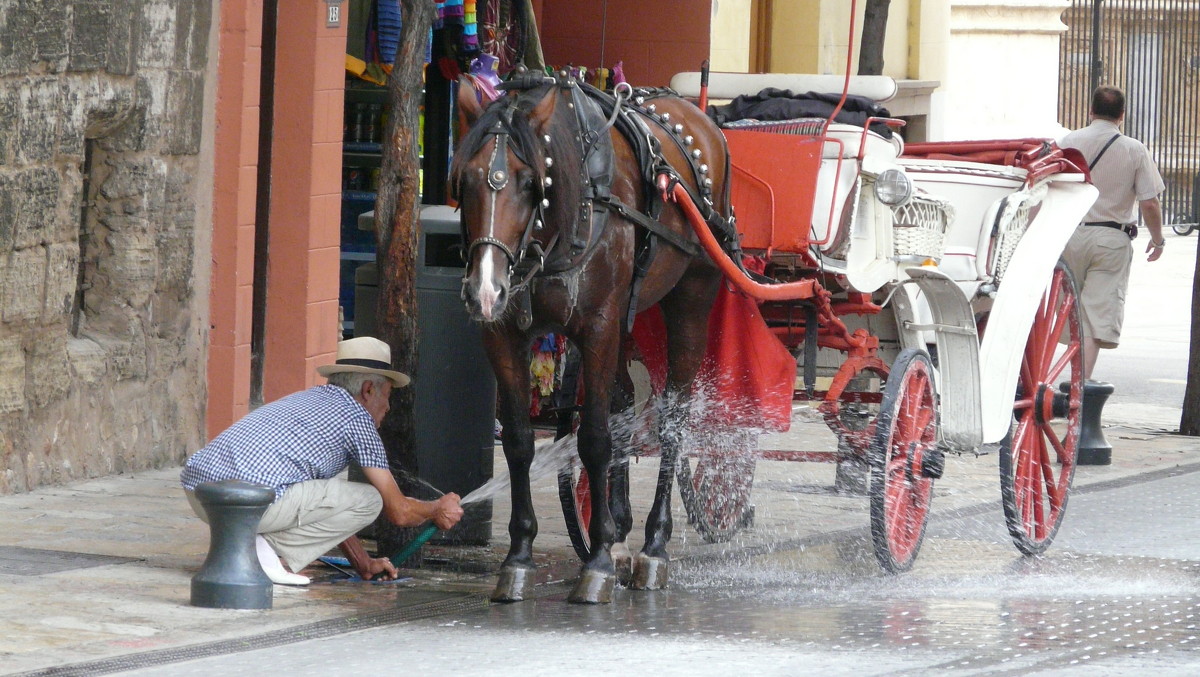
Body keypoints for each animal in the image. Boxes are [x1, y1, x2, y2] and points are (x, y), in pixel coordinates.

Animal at [451, 68, 729, 604]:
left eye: (528, 182)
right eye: (466, 180)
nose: (484, 290)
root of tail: (699, 117)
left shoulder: (598, 325)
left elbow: (596, 439)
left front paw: (597, 560)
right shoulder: (504, 335)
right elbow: (518, 442)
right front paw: (520, 556)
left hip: (692, 298)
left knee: (673, 419)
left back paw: (653, 546)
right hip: (626, 320)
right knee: (622, 402)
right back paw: (621, 534)